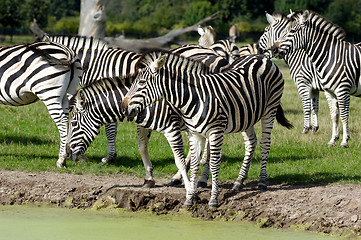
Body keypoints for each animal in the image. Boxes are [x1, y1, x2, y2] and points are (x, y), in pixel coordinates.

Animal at [121, 49, 292, 207]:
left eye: (142, 82)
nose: (123, 106)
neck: (194, 97)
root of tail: (262, 57)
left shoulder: (214, 131)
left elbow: (214, 163)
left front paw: (213, 199)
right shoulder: (195, 133)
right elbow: (195, 163)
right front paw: (191, 197)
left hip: (270, 108)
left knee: (265, 143)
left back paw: (262, 181)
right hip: (246, 116)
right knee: (251, 142)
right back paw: (239, 180)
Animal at [272, 9, 360, 147]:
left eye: (292, 31)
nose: (273, 48)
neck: (330, 56)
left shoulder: (342, 90)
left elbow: (343, 115)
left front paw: (345, 141)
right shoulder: (329, 91)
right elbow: (333, 115)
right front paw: (333, 140)